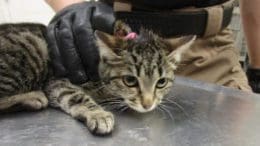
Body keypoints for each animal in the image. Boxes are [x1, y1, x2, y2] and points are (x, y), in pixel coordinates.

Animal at [0, 23, 195, 136]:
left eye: (161, 82)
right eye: (130, 80)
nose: (147, 104)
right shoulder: (58, 79)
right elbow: (75, 95)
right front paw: (98, 114)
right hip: (33, 49)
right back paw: (33, 97)